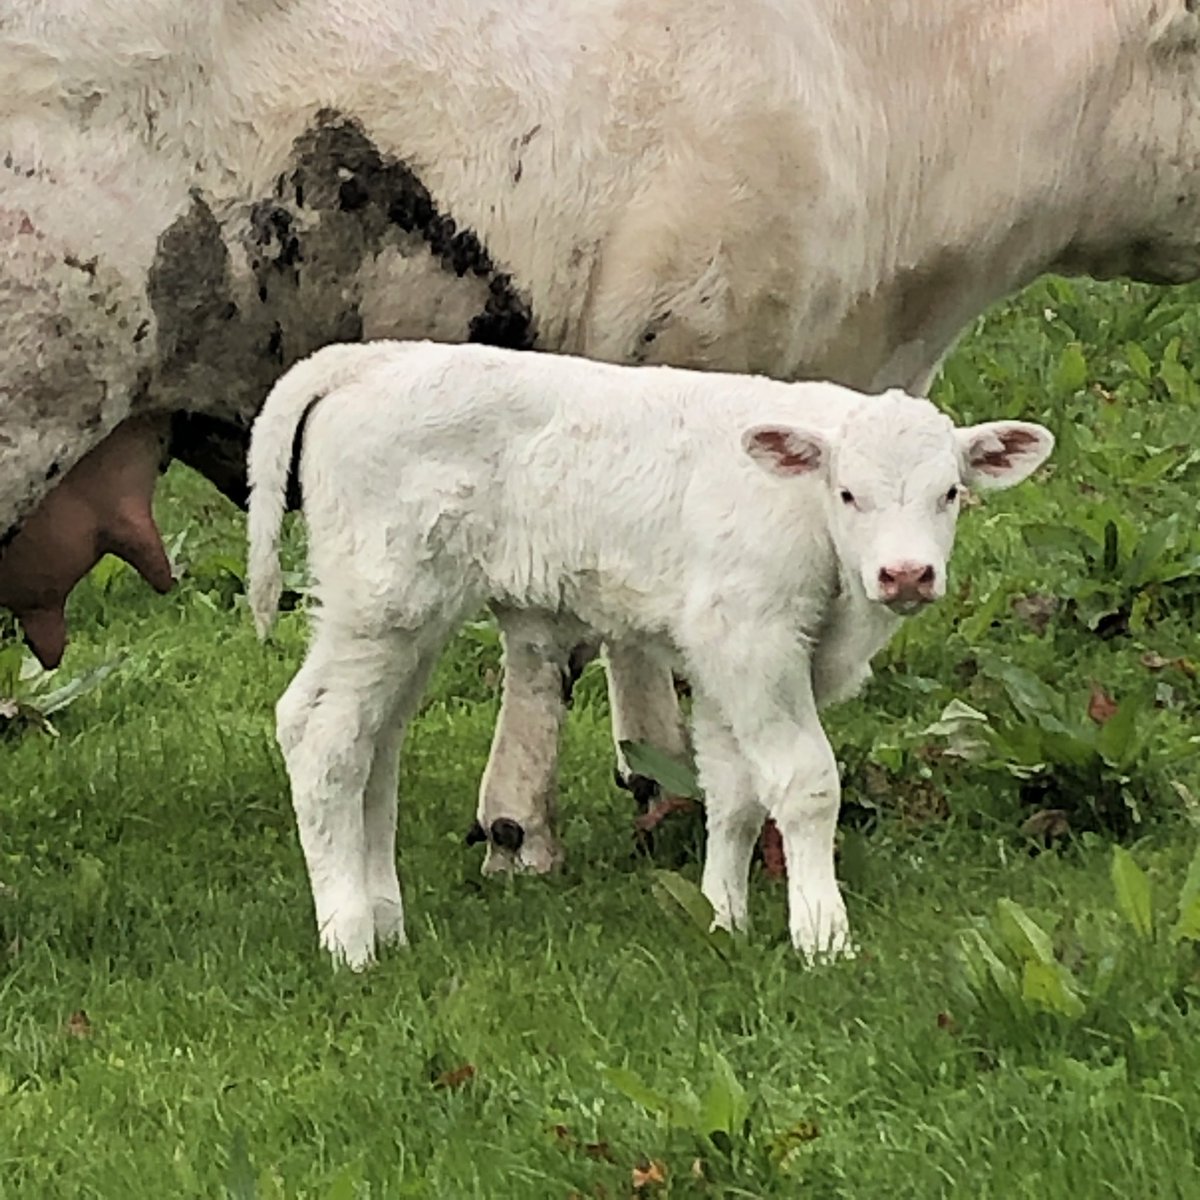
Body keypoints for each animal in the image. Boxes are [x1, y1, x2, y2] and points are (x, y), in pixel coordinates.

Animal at [245, 339, 1054, 967]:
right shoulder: (753, 639)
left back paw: (385, 920)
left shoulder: (720, 656)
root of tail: (371, 359)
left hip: (406, 618)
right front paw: (823, 935)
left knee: (370, 742)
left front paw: (723, 917)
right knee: (324, 739)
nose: (907, 574)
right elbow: (805, 782)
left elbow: (732, 789)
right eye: (849, 493)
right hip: (380, 602)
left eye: (950, 493)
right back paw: (349, 939)